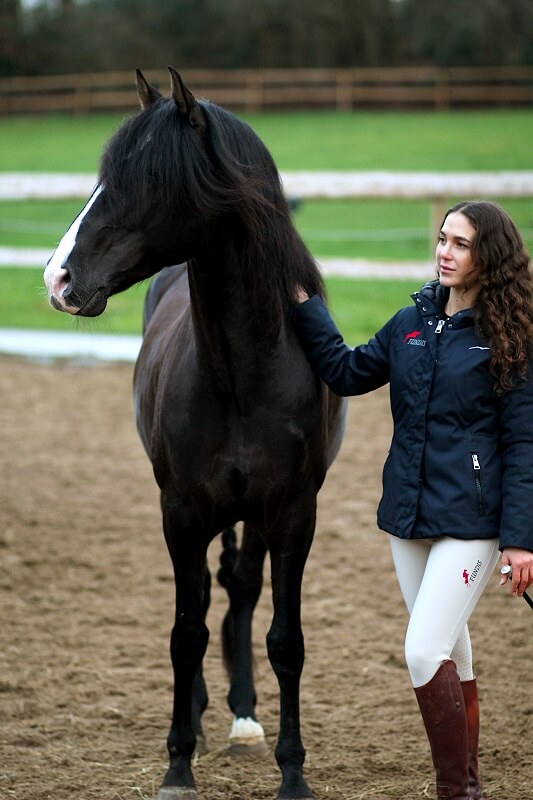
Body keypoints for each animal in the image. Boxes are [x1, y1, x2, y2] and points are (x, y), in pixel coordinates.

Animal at [44, 69, 344, 800]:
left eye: (147, 179)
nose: (58, 278)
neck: (243, 375)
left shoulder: (293, 515)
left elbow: (285, 639)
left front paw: (292, 772)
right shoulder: (179, 513)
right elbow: (186, 631)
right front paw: (178, 762)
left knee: (241, 589)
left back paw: (243, 715)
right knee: (209, 598)